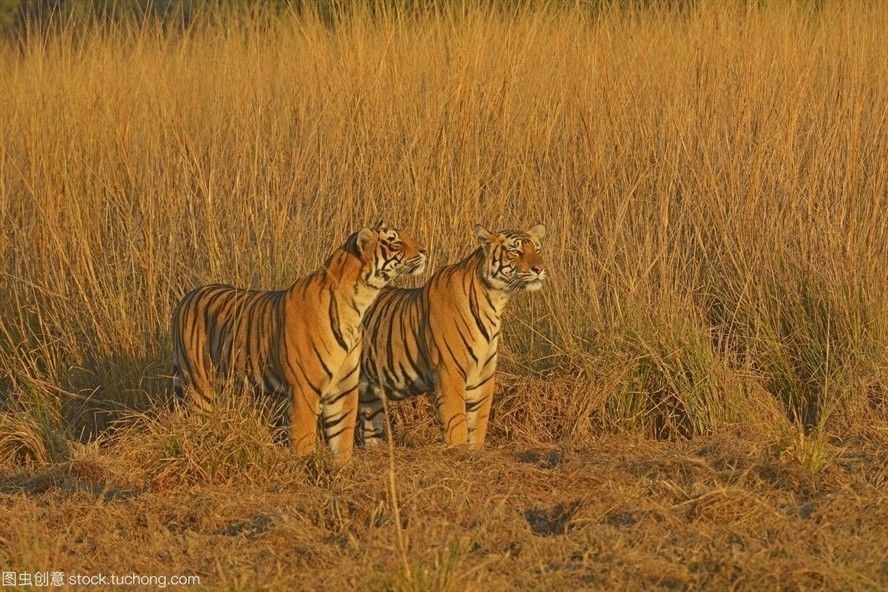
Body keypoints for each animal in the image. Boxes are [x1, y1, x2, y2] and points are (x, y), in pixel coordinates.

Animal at [171, 226, 427, 461]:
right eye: (394, 242)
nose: (425, 250)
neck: (358, 304)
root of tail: (185, 298)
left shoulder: (343, 388)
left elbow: (342, 437)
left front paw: (341, 470)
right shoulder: (304, 389)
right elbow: (304, 440)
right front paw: (307, 469)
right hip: (199, 386)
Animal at [358, 224, 547, 449]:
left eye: (536, 250)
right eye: (515, 251)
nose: (539, 269)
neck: (494, 301)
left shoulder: (482, 378)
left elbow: (478, 424)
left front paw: (474, 451)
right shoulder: (449, 373)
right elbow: (457, 426)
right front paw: (458, 451)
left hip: (370, 396)